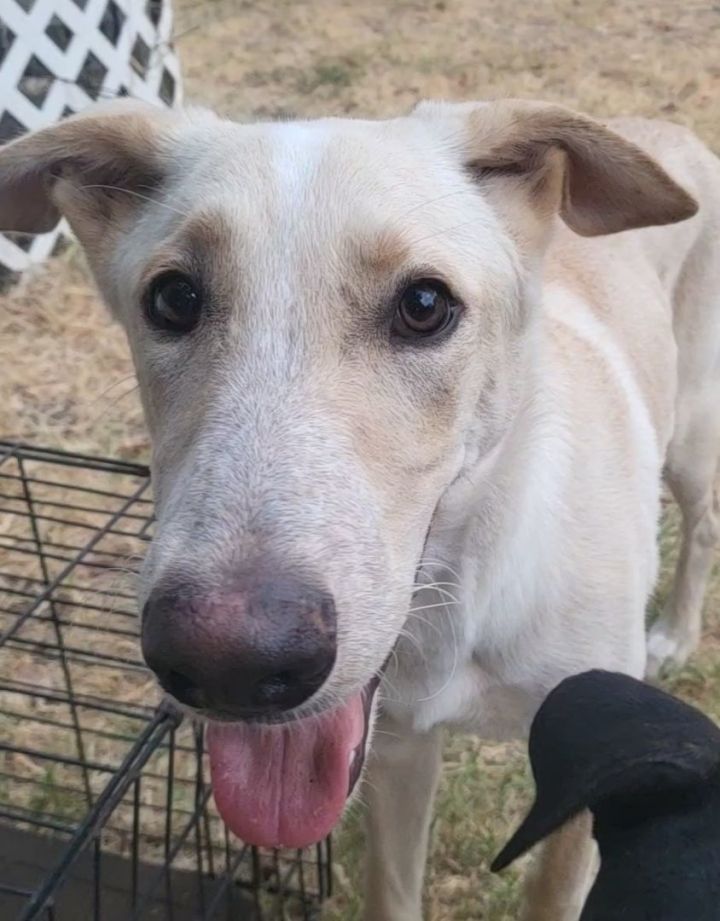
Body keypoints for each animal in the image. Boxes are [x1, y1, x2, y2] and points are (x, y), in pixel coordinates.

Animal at [2, 97, 716, 916]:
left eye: (425, 304)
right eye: (173, 298)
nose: (230, 667)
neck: (461, 602)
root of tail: (669, 130)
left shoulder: (593, 785)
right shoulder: (398, 750)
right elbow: (394, 888)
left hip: (692, 440)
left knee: (704, 527)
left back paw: (677, 632)